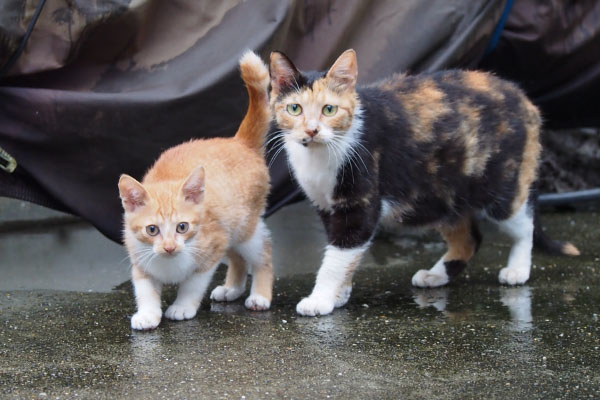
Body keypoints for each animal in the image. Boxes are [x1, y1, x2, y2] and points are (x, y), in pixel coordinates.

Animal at [118, 51, 274, 330]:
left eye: (182, 227)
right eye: (152, 230)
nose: (169, 248)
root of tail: (239, 142)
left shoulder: (211, 247)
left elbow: (193, 283)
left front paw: (182, 306)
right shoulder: (138, 256)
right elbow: (145, 288)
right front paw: (148, 313)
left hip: (244, 227)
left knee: (262, 250)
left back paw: (259, 295)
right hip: (229, 223)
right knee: (237, 256)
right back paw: (232, 289)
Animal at [270, 48, 580, 316]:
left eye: (329, 110)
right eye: (295, 109)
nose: (312, 130)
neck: (320, 155)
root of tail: (523, 98)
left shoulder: (360, 204)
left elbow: (337, 257)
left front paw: (320, 299)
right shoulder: (326, 206)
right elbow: (342, 253)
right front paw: (339, 294)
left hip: (501, 187)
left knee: (523, 224)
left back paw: (517, 270)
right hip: (442, 195)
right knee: (470, 237)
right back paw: (436, 275)